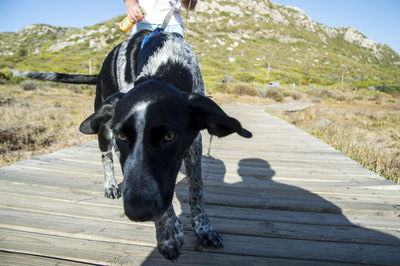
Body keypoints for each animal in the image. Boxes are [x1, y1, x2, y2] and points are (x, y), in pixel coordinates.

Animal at [18, 29, 253, 260]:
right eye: (122, 136)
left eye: (169, 136)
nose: (136, 211)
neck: (166, 62)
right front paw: (168, 233)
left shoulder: (194, 144)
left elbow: (197, 190)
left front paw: (203, 228)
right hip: (103, 129)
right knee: (106, 157)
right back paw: (111, 185)